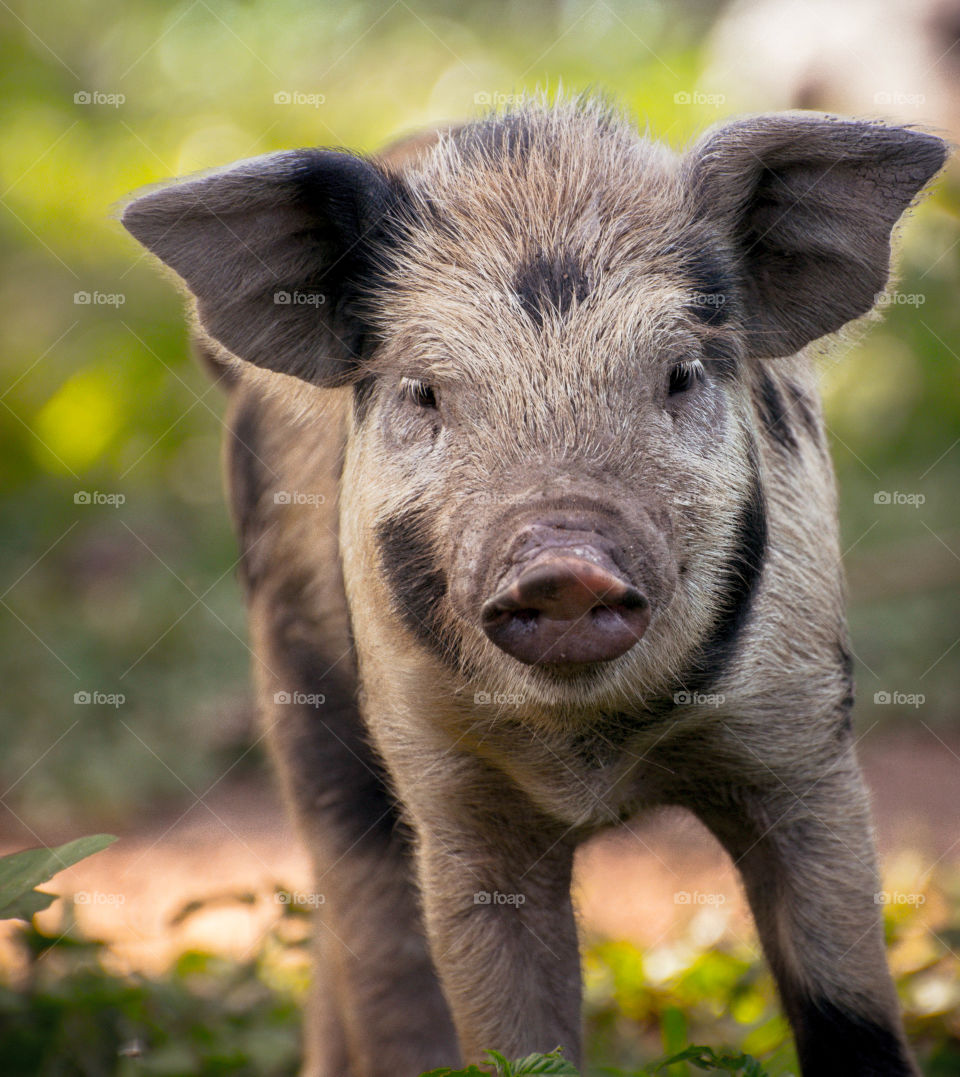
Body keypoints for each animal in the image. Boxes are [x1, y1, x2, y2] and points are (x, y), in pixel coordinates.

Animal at [121, 96, 947, 1077]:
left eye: (681, 373)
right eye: (424, 390)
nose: (561, 563)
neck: (596, 760)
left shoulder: (806, 742)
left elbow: (849, 1003)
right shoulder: (447, 787)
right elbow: (506, 1026)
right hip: (299, 682)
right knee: (365, 920)